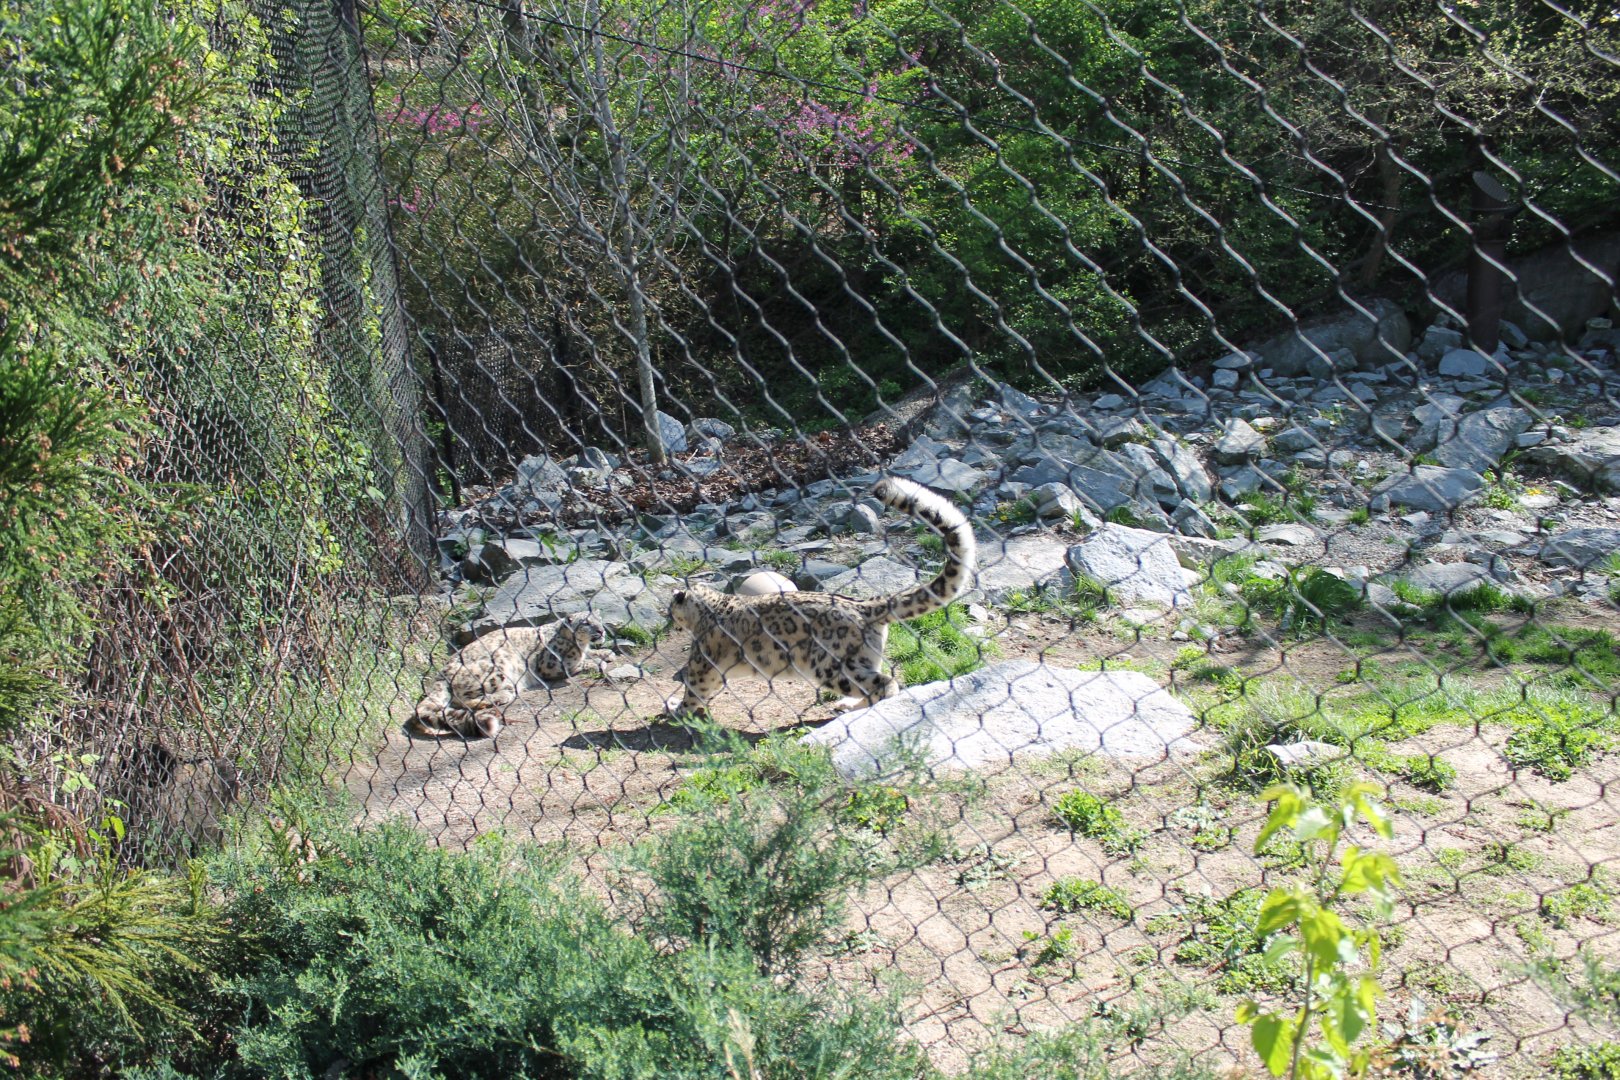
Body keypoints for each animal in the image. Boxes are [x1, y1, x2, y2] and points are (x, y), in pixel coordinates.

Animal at [410, 612, 607, 738]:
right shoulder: (550, 665)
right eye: (586, 622)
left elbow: (591, 654)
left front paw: (605, 654)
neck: (580, 646)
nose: (601, 630)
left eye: (599, 619)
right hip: (496, 670)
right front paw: (597, 662)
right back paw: (501, 696)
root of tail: (440, 674)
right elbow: (575, 664)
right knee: (464, 700)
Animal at [665, 476, 975, 719]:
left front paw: (677, 709)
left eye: (670, 611)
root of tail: (866, 606)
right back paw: (847, 706)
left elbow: (694, 688)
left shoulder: (702, 664)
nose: (669, 623)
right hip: (862, 660)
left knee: (885, 683)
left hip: (831, 666)